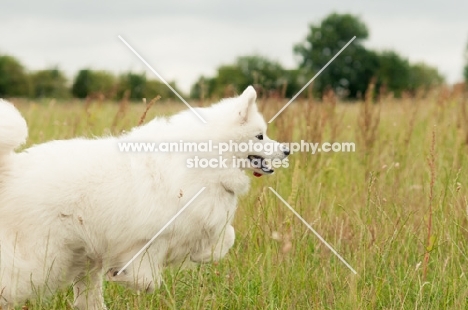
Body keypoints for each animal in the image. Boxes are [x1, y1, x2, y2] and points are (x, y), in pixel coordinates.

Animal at [0, 86, 288, 308]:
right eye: (259, 136)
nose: (286, 150)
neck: (205, 160)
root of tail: (11, 170)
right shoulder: (151, 238)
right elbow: (147, 280)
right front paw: (123, 276)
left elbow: (226, 238)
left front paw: (205, 255)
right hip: (44, 258)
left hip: (79, 256)